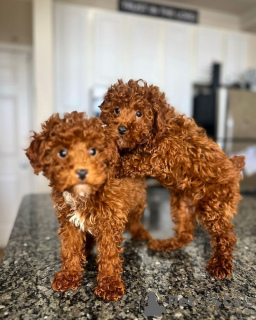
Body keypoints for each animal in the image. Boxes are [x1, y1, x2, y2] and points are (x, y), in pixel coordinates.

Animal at [25, 111, 150, 302]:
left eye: (93, 151)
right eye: (62, 153)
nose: (82, 171)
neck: (83, 195)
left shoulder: (109, 220)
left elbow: (109, 254)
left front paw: (110, 283)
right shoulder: (69, 220)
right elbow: (70, 248)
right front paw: (69, 275)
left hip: (138, 202)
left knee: (135, 219)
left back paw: (140, 232)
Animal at [99, 80, 245, 280]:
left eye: (139, 113)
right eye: (116, 110)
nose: (121, 129)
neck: (153, 134)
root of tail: (233, 167)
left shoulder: (164, 156)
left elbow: (136, 159)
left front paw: (114, 163)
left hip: (214, 203)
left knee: (225, 236)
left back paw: (221, 264)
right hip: (181, 204)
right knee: (186, 234)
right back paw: (166, 244)